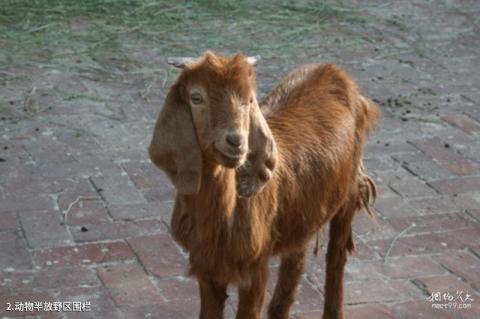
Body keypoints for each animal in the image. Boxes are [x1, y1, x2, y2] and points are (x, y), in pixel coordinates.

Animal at [149, 52, 378, 319]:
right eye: (196, 98)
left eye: (249, 99)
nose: (236, 141)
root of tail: (335, 71)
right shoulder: (206, 266)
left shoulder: (255, 267)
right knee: (296, 258)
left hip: (347, 193)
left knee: (336, 256)